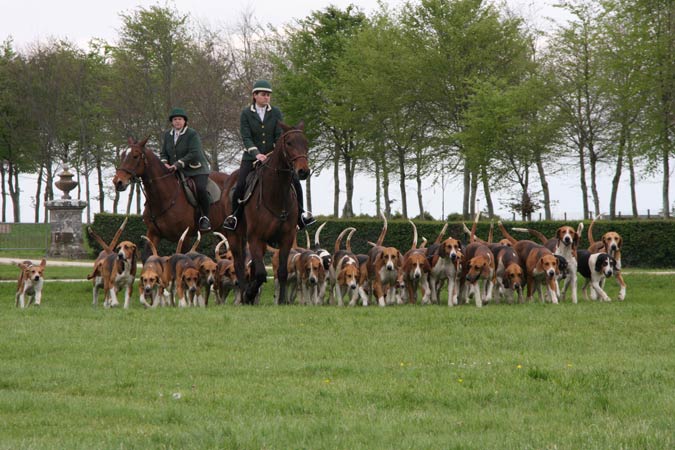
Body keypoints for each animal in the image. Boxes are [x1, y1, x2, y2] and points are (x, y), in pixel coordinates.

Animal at [224, 121, 314, 304]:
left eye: (306, 142)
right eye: (289, 143)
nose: (303, 171)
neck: (276, 194)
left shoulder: (286, 238)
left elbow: (282, 272)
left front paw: (282, 301)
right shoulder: (255, 237)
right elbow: (260, 273)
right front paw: (249, 293)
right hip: (235, 236)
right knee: (239, 265)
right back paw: (244, 295)